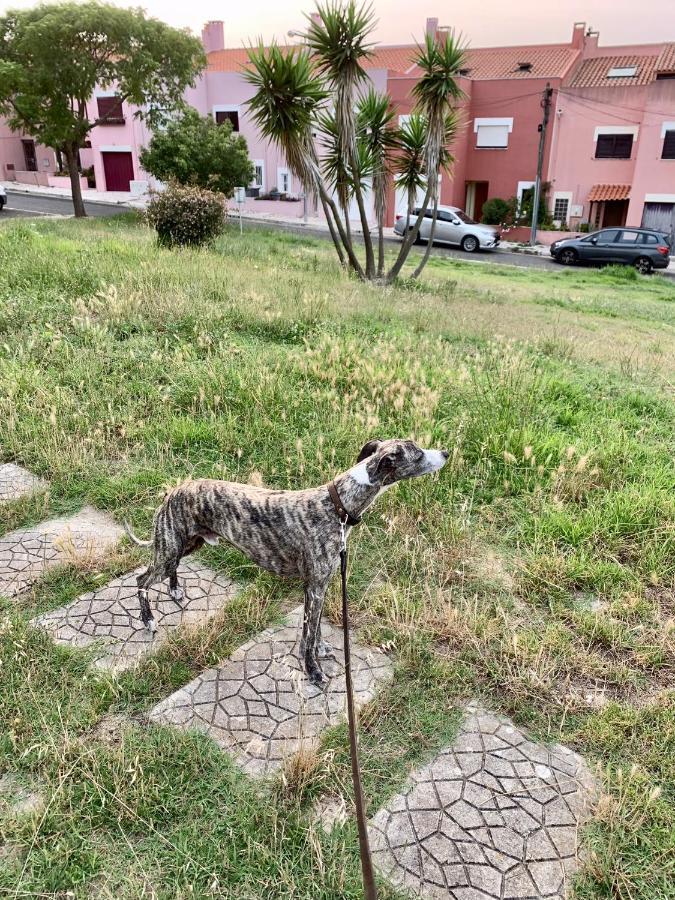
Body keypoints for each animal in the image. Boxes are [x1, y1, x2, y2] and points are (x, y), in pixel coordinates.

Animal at [124, 440, 452, 684]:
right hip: (170, 548)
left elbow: (316, 629)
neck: (337, 504)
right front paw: (314, 671)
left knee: (170, 569)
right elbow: (307, 634)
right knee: (142, 580)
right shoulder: (314, 587)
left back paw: (175, 590)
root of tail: (171, 492)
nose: (446, 453)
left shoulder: (321, 586)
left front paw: (321, 650)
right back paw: (148, 619)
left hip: (188, 544)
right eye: (418, 454)